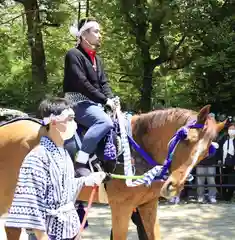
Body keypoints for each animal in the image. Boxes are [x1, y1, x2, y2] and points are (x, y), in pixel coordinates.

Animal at [0, 105, 225, 240]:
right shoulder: (121, 207)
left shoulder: (147, 205)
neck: (137, 147)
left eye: (206, 152)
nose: (173, 187)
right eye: (186, 138)